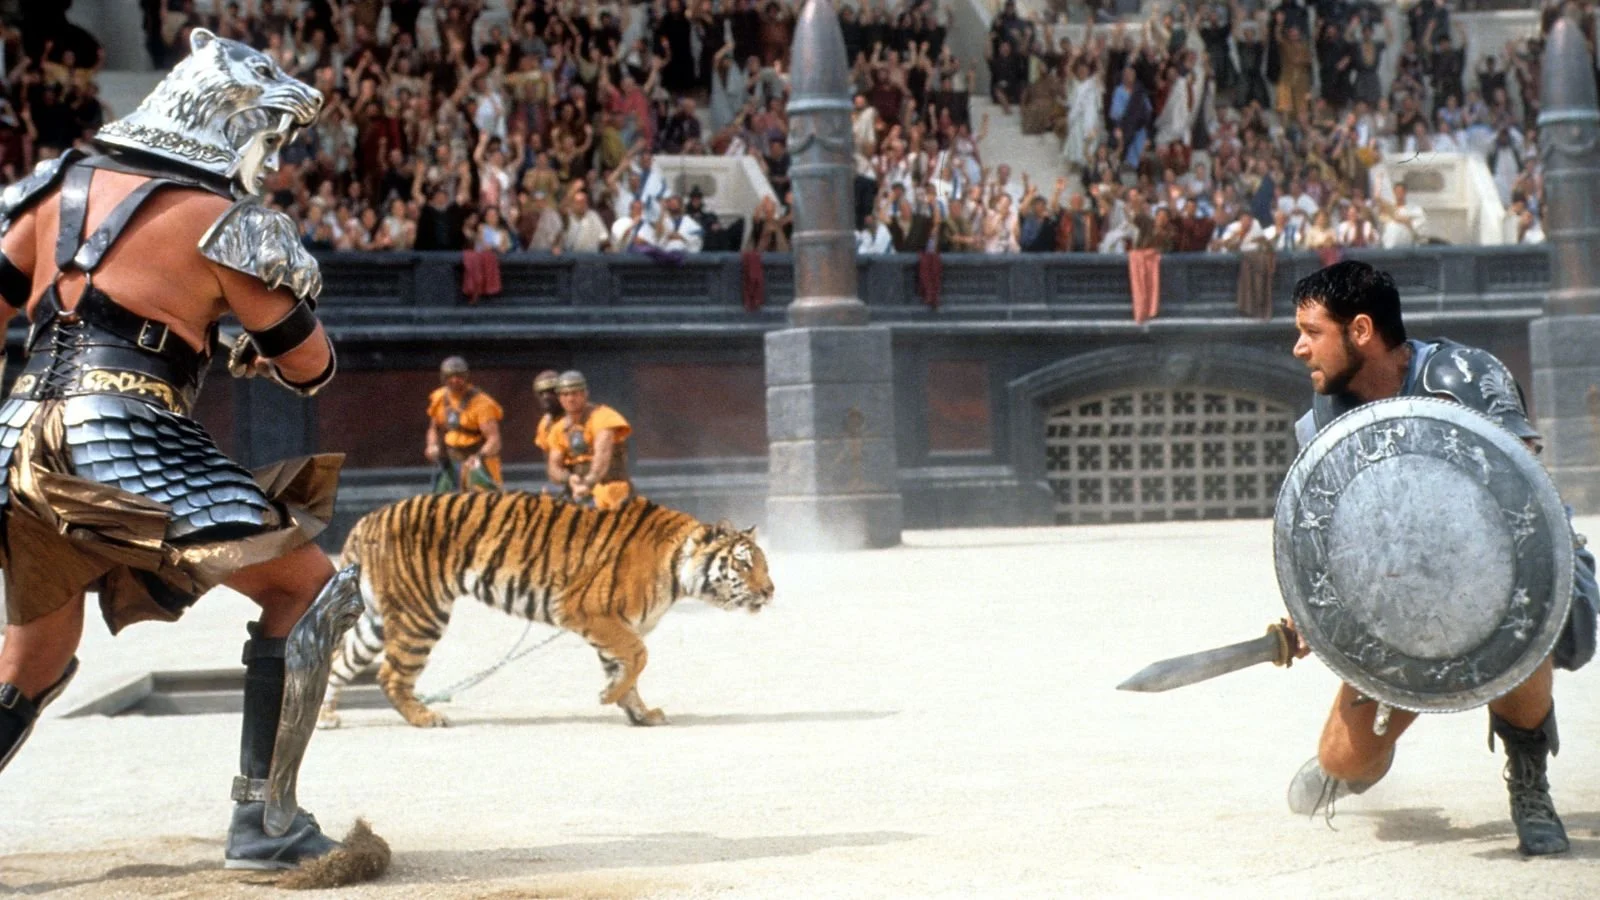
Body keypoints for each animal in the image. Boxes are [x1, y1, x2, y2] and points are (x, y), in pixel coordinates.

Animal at [316, 486, 774, 723]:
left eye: (764, 564)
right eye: (743, 563)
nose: (771, 591)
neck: (678, 570)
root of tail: (366, 521)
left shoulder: (613, 625)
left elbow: (626, 667)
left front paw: (638, 711)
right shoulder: (589, 611)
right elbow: (639, 657)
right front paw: (609, 698)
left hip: (376, 620)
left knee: (338, 660)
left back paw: (325, 718)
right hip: (421, 614)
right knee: (391, 674)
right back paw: (426, 717)